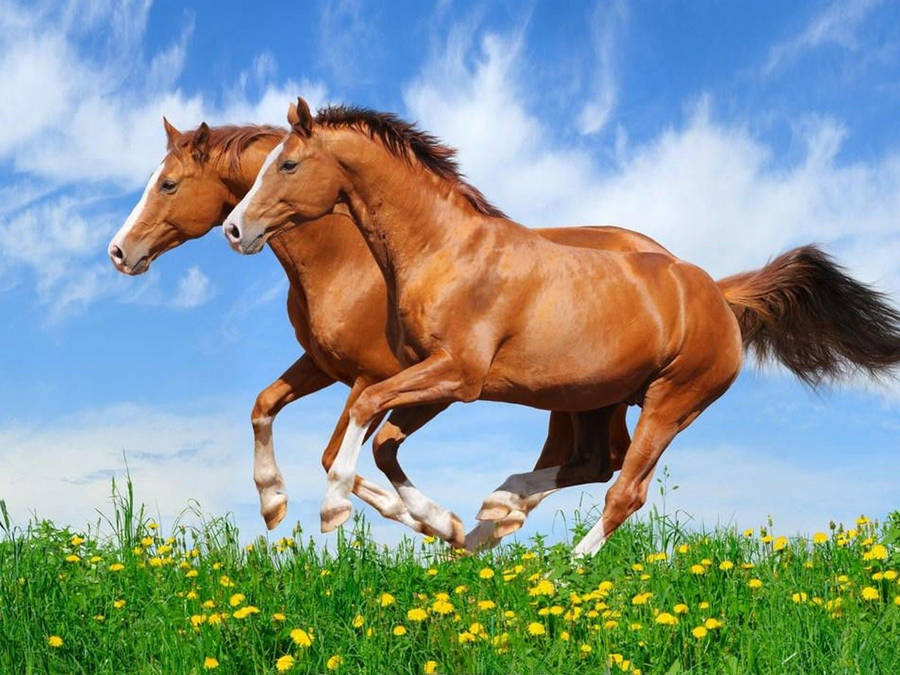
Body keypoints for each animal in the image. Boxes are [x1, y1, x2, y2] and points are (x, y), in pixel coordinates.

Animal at [108, 119, 683, 548]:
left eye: (168, 184)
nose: (118, 252)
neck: (346, 256)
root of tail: (676, 266)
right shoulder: (324, 366)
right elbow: (265, 405)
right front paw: (273, 501)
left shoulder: (381, 377)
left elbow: (337, 454)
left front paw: (435, 522)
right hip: (583, 398)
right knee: (594, 461)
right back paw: (496, 522)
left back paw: (490, 524)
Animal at [223, 97, 900, 556]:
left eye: (288, 164)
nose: (234, 229)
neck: (445, 250)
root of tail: (715, 291)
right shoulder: (430, 377)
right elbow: (380, 436)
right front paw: (447, 525)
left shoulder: (456, 376)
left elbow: (365, 418)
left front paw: (332, 509)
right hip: (594, 399)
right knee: (595, 463)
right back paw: (494, 511)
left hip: (674, 399)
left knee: (624, 489)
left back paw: (564, 568)